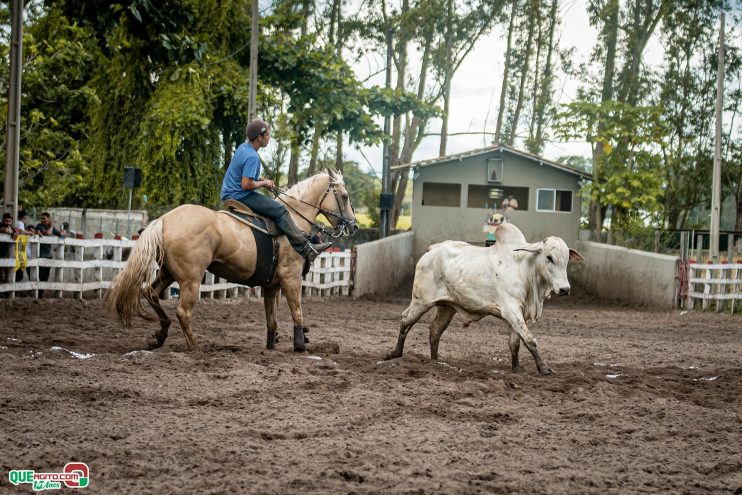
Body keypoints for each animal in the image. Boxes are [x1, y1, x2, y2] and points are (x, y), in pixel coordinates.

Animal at [104, 170, 358, 352]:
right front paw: (300, 344)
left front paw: (272, 344)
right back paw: (195, 348)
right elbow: (297, 311)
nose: (354, 226)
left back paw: (160, 336)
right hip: (190, 279)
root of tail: (164, 219)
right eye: (345, 196)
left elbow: (272, 320)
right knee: (183, 312)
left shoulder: (272, 286)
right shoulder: (290, 278)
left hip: (167, 272)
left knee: (150, 292)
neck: (293, 221)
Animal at [386, 223, 584, 374]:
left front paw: (516, 369)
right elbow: (530, 340)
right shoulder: (511, 310)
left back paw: (434, 361)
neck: (524, 268)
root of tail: (432, 250)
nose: (565, 289)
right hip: (421, 301)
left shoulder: (516, 315)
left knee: (434, 331)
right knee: (405, 320)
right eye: (549, 257)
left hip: (446, 307)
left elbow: (515, 344)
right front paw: (543, 368)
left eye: (567, 259)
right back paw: (395, 353)